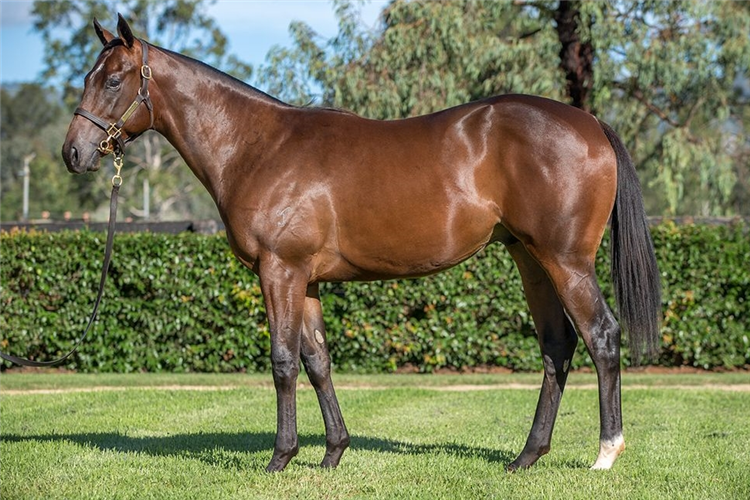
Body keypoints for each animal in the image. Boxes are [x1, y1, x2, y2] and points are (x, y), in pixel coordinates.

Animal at [64, 16, 664, 472]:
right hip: (530, 258)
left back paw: (605, 453)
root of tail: (589, 122)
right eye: (91, 76)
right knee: (557, 346)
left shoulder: (279, 271)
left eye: (114, 80)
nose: (73, 152)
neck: (257, 146)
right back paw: (526, 458)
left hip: (565, 261)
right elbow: (317, 361)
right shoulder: (304, 279)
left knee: (602, 337)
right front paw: (332, 453)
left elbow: (283, 361)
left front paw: (280, 458)